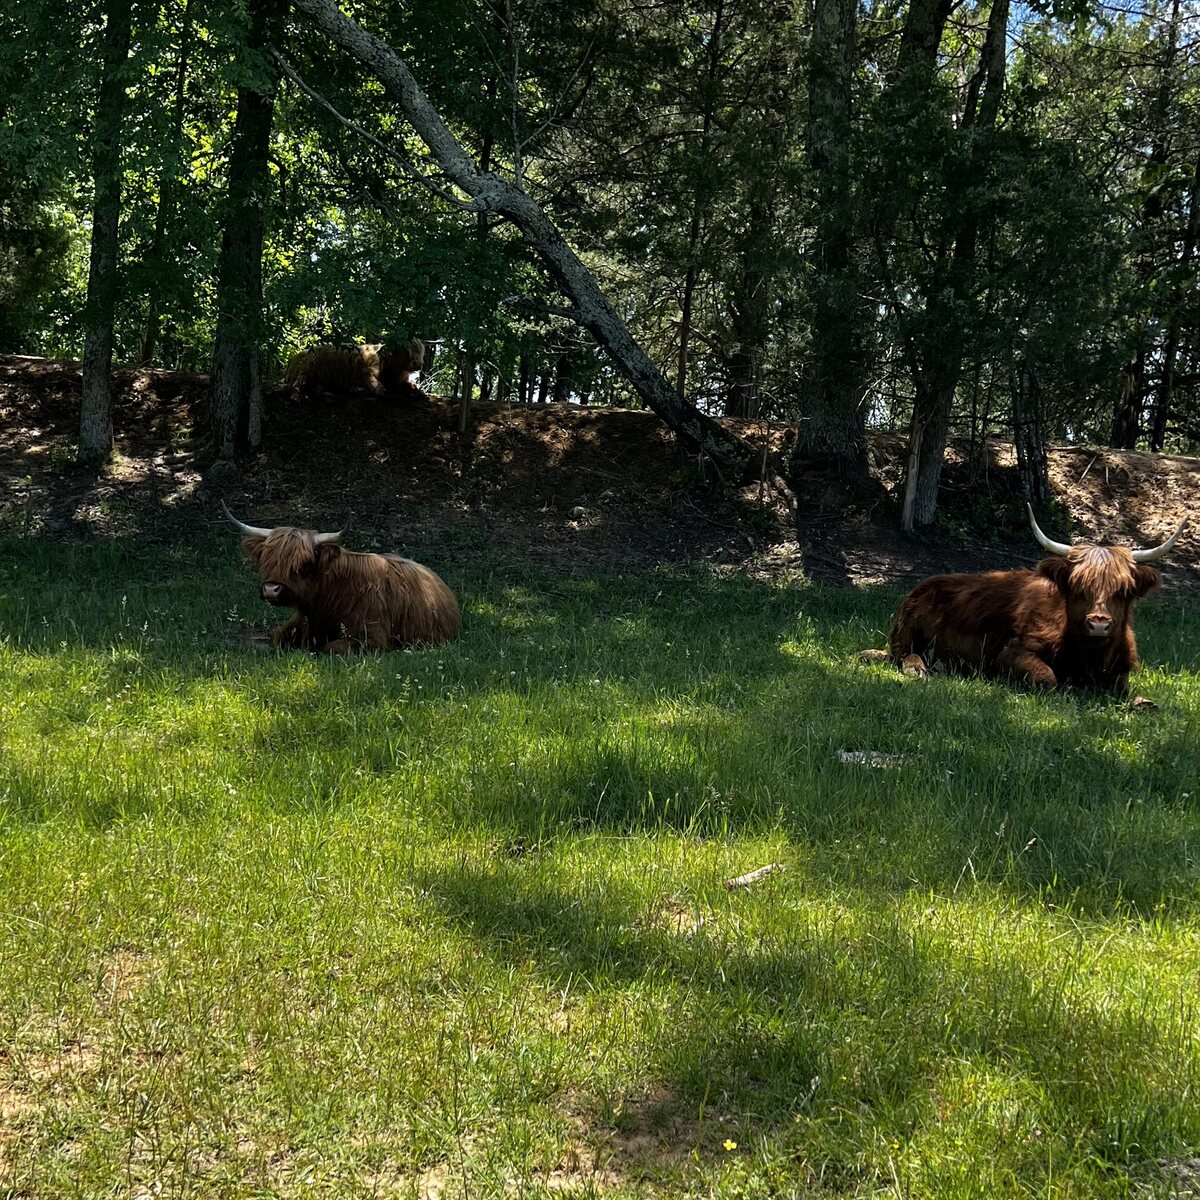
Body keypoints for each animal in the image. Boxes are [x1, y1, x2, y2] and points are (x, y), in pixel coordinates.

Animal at [223, 503, 460, 653]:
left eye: (304, 564)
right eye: (267, 559)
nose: (271, 590)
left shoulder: (372, 637)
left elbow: (331, 647)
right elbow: (274, 636)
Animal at [283, 339, 425, 401]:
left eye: (420, 352)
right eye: (407, 351)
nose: (418, 364)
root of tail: (293, 358)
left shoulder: (398, 381)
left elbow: (408, 385)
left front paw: (417, 390)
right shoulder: (365, 369)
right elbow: (374, 383)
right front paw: (363, 389)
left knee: (314, 387)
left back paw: (326, 392)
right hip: (307, 368)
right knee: (293, 385)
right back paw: (296, 396)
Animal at [863, 505, 1188, 695]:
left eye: (1122, 590)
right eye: (1078, 586)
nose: (1098, 624)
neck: (1086, 658)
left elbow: (1123, 689)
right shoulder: (1010, 652)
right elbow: (1047, 678)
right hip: (906, 636)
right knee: (904, 656)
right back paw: (921, 668)